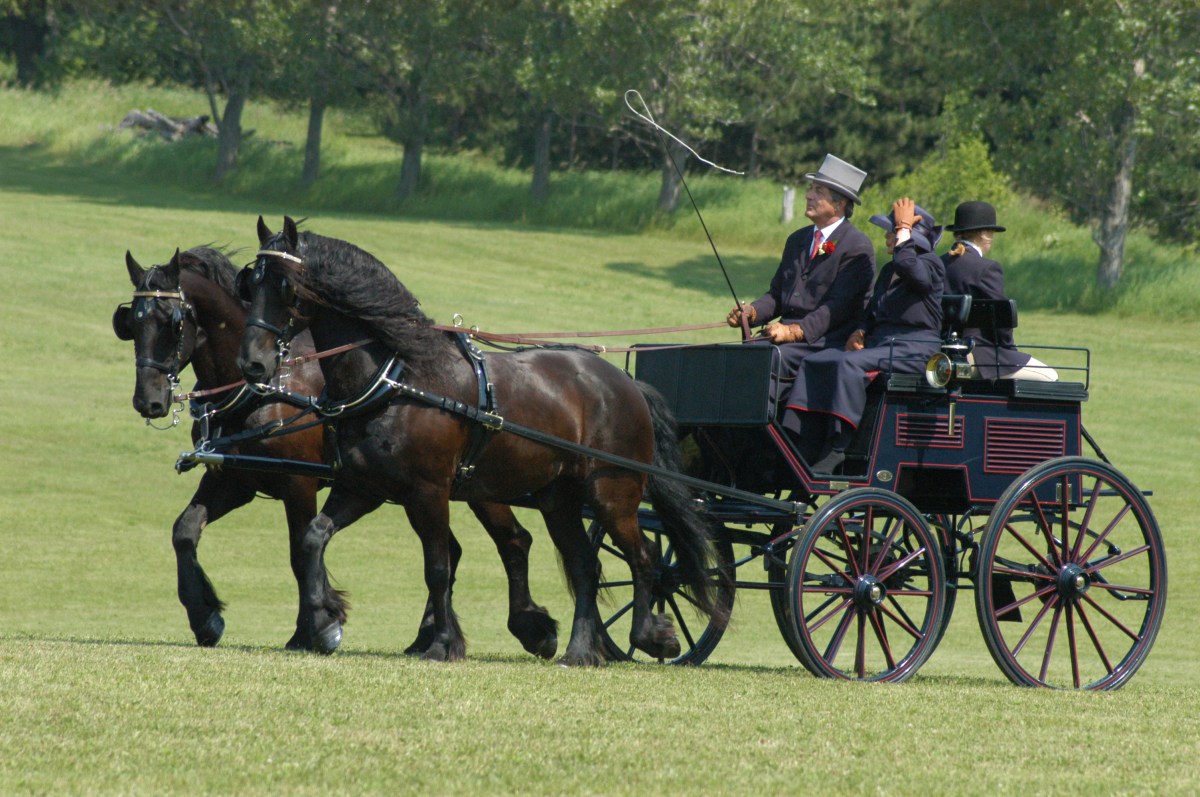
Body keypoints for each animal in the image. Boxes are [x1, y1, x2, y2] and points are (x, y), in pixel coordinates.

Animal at [114, 246, 558, 658]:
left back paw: (532, 629)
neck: (267, 388)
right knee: (454, 550)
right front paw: (205, 617)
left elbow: (298, 554)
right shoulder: (235, 478)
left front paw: (313, 629)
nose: (148, 401)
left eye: (172, 321)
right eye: (131, 322)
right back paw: (427, 636)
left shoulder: (298, 481)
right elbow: (184, 532)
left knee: (513, 541)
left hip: (477, 484)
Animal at [237, 216, 723, 665]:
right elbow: (313, 539)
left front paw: (442, 644)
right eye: (249, 284)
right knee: (586, 566)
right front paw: (324, 621)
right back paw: (579, 651)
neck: (397, 378)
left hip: (612, 493)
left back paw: (651, 636)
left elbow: (438, 567)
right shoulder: (363, 488)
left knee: (643, 559)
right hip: (558, 499)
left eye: (285, 286)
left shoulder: (428, 492)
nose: (253, 364)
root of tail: (624, 382)